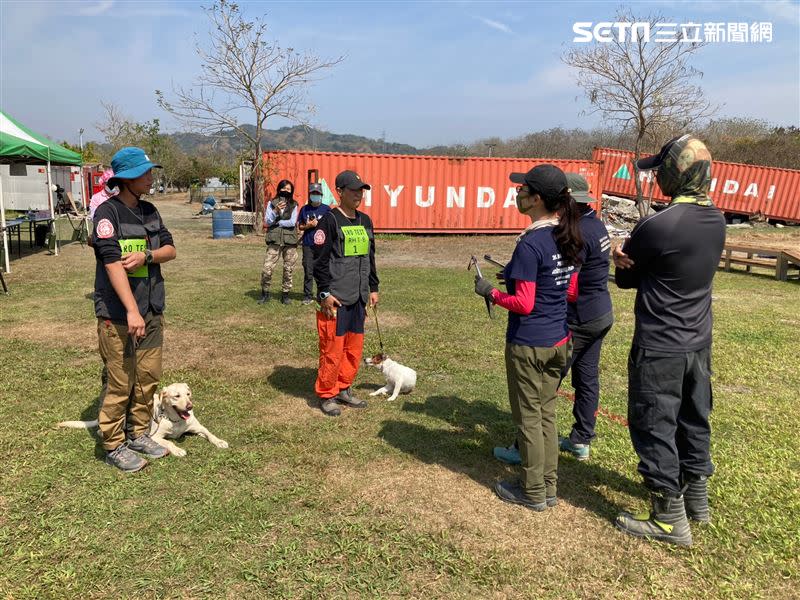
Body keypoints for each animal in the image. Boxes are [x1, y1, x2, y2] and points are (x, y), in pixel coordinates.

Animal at [57, 382, 227, 458]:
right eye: (176, 396)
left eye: (188, 394)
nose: (190, 406)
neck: (175, 420)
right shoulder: (156, 436)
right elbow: (169, 442)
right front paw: (177, 449)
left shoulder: (199, 427)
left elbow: (210, 433)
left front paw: (219, 441)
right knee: (103, 428)